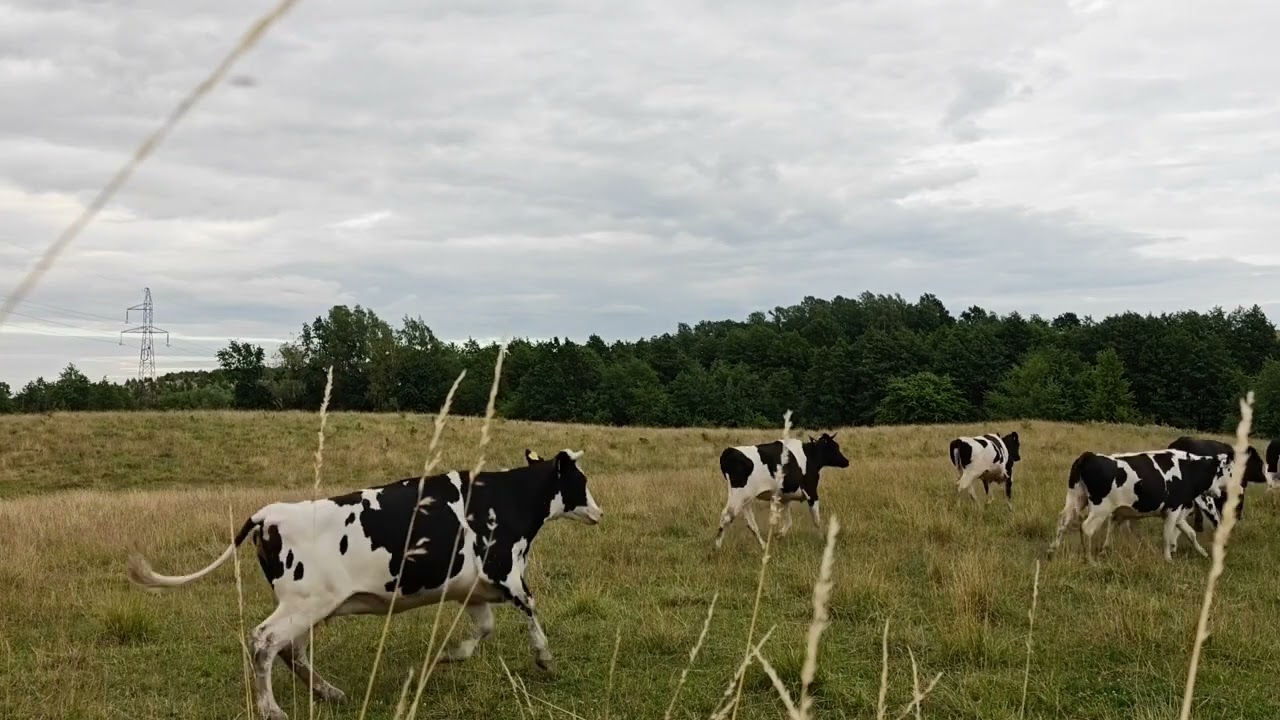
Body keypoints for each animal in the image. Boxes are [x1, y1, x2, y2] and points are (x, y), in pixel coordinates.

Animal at [126, 449, 602, 720]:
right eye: (581, 481)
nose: (599, 511)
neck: (507, 498)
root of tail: (269, 513)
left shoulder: (470, 587)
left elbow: (482, 629)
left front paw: (446, 656)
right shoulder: (506, 571)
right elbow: (532, 609)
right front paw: (544, 659)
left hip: (307, 606)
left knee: (291, 651)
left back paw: (329, 692)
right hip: (303, 603)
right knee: (264, 642)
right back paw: (271, 708)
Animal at [712, 432, 849, 551]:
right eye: (834, 447)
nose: (846, 461)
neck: (810, 456)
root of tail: (729, 451)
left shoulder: (785, 497)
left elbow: (788, 521)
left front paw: (779, 535)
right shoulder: (811, 493)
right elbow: (816, 520)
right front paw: (822, 539)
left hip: (746, 500)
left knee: (751, 523)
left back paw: (764, 546)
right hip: (738, 496)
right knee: (726, 517)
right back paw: (717, 547)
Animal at [1045, 448, 1233, 564]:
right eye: (1224, 472)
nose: (1220, 492)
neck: (1187, 470)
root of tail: (1089, 456)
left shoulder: (1177, 511)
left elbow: (1190, 533)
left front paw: (1203, 553)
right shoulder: (1173, 509)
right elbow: (1167, 535)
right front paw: (1168, 559)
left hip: (1075, 498)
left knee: (1063, 521)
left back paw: (1052, 551)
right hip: (1100, 508)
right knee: (1086, 528)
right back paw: (1090, 561)